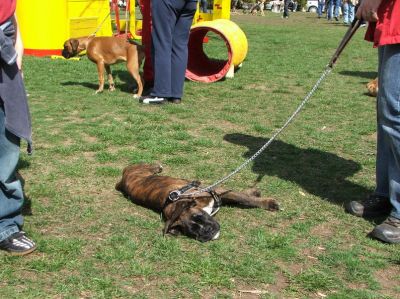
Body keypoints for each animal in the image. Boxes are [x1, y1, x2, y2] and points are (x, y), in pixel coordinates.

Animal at [114, 164, 280, 244]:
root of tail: (122, 178)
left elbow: (242, 197)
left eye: (200, 216)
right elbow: (240, 196)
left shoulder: (216, 190)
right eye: (193, 231)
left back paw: (156, 166)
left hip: (141, 169)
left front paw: (266, 202)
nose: (207, 230)